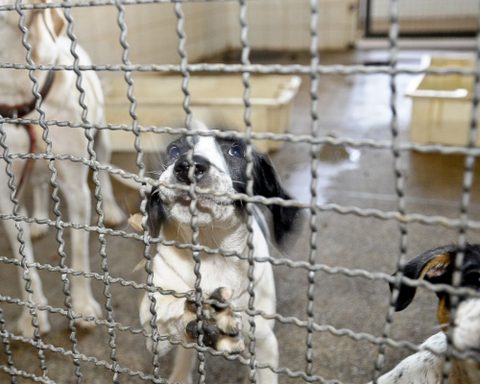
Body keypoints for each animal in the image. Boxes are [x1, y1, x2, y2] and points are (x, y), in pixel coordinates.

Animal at [0, 0, 125, 336]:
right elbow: (25, 266)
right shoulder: (5, 198)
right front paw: (32, 316)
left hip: (101, 139)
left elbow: (79, 256)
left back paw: (110, 211)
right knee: (40, 185)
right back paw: (39, 219)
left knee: (104, 177)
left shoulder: (75, 188)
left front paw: (82, 308)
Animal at [137, 123, 298, 384]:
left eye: (236, 151)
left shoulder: (265, 341)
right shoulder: (153, 328)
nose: (187, 166)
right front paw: (198, 314)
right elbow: (168, 314)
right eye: (174, 150)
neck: (212, 251)